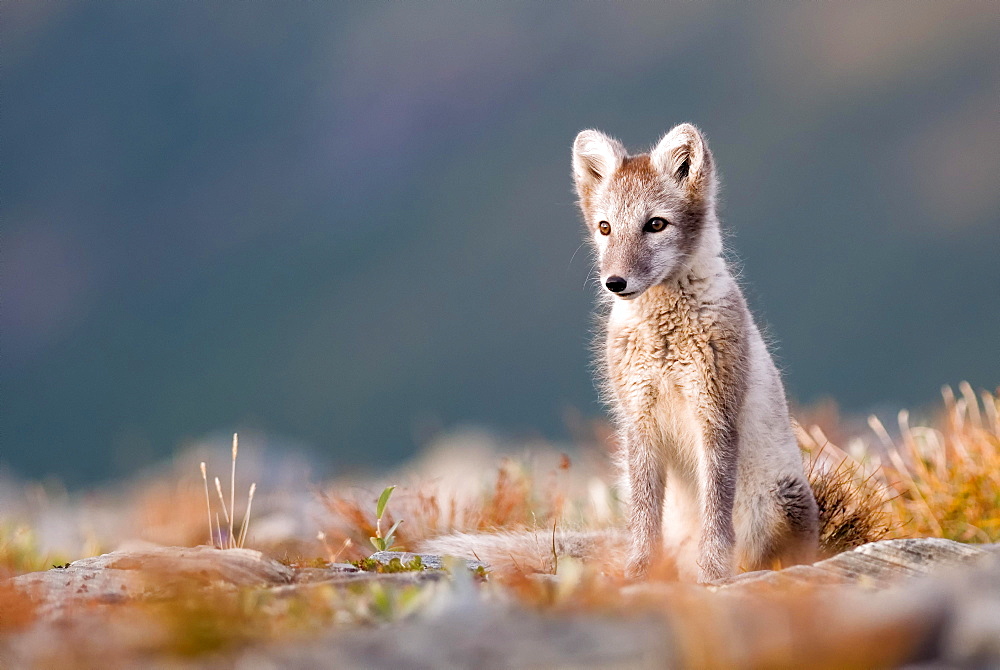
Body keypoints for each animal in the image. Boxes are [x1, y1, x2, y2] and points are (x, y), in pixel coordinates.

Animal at [422, 124, 820, 584]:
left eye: (656, 224)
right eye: (605, 227)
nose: (614, 282)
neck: (663, 338)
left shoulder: (714, 413)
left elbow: (716, 513)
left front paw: (712, 574)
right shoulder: (638, 418)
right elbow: (644, 516)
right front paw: (640, 572)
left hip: (782, 502)